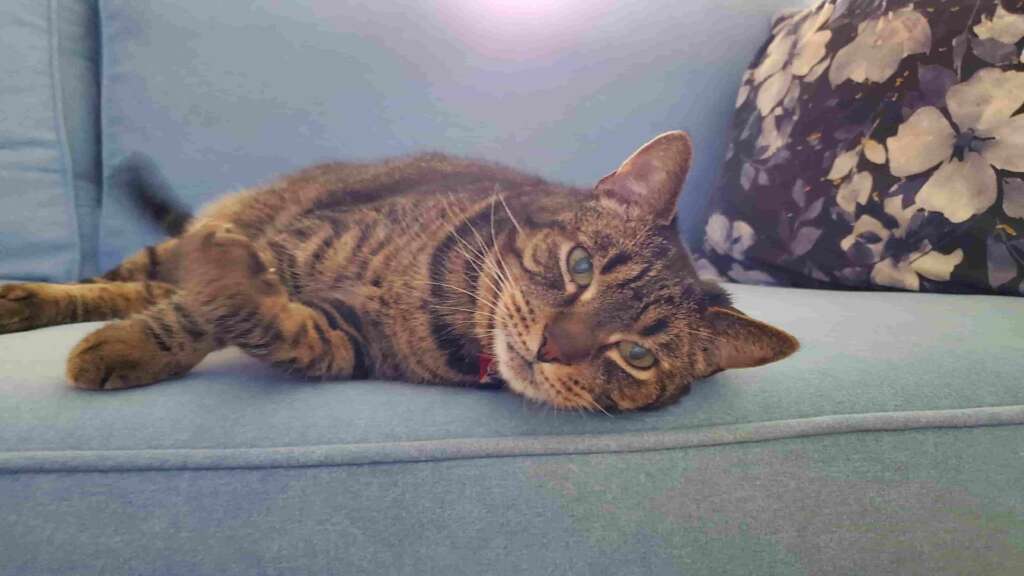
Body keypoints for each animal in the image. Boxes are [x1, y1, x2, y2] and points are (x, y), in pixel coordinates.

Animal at [0, 131, 798, 407]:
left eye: (636, 354)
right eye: (580, 266)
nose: (550, 346)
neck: (452, 307)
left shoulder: (340, 340)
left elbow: (265, 323)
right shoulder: (301, 244)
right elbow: (198, 311)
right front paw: (135, 344)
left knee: (145, 283)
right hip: (226, 227)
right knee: (129, 278)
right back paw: (31, 300)